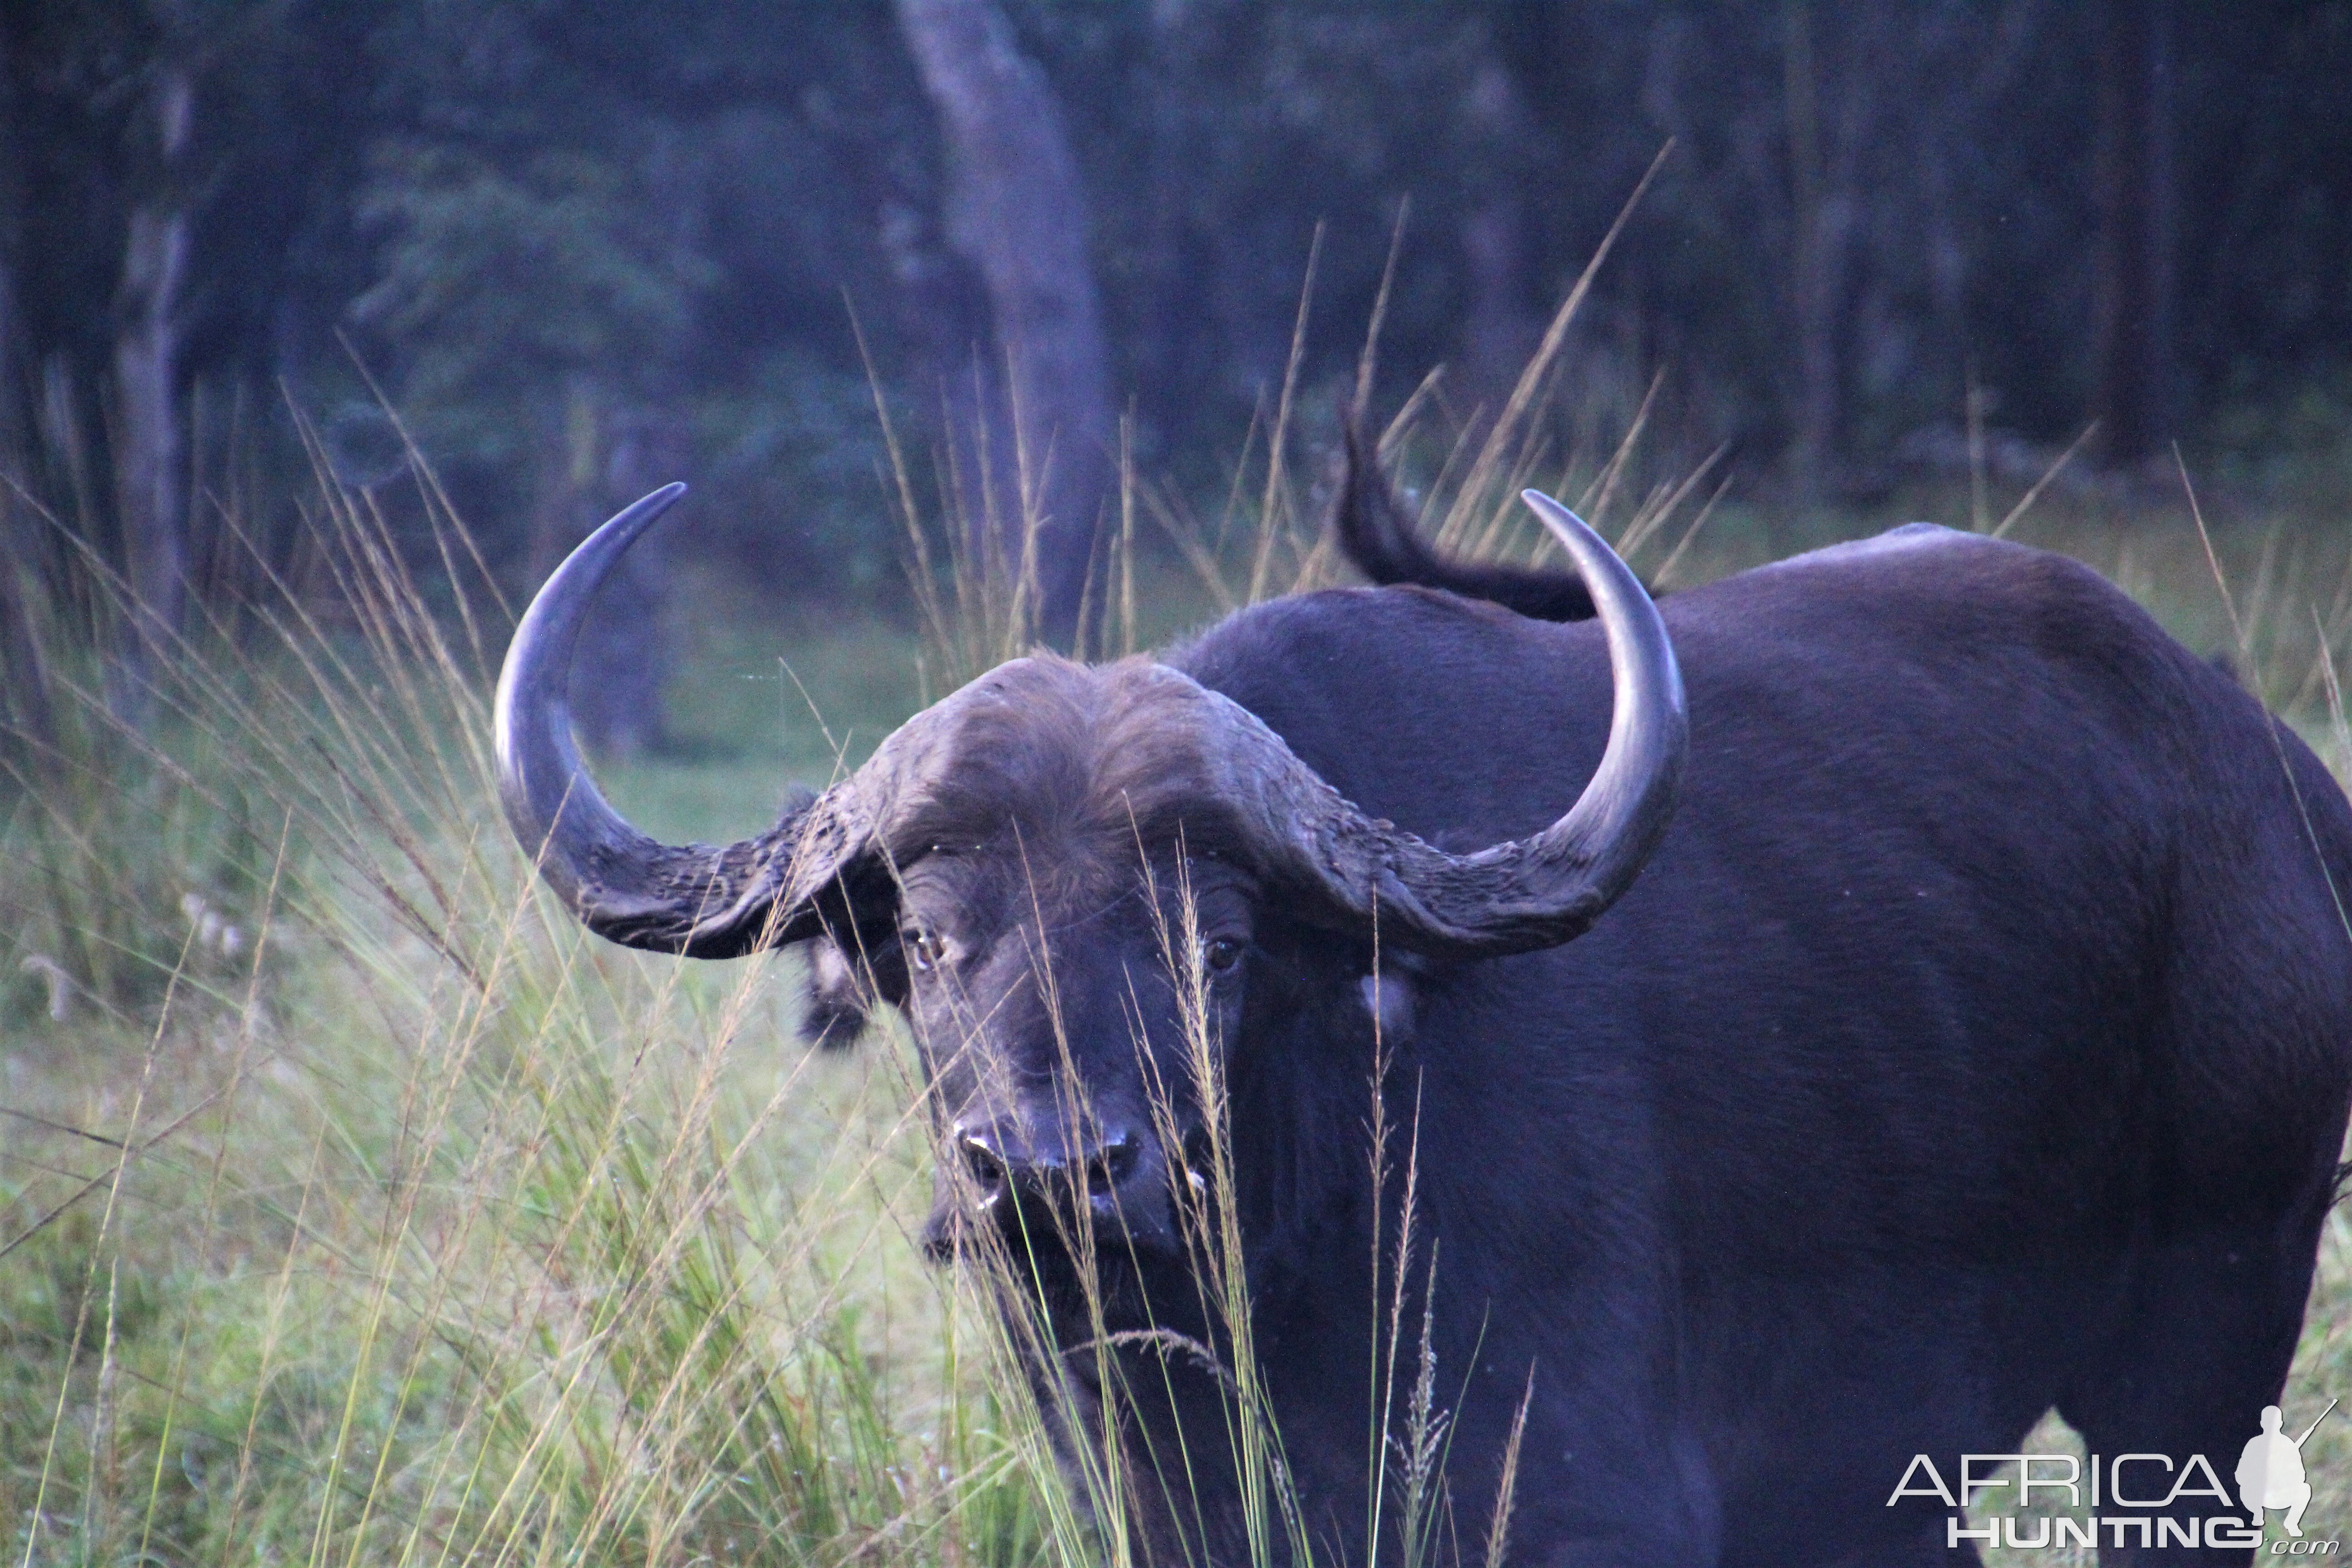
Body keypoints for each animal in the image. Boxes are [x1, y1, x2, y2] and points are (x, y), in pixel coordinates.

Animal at [491, 456, 2352, 1568]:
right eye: (933, 942)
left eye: (1217, 945)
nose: (1045, 1173)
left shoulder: (1593, 1501)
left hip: (2201, 1356)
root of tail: (2267, 782)